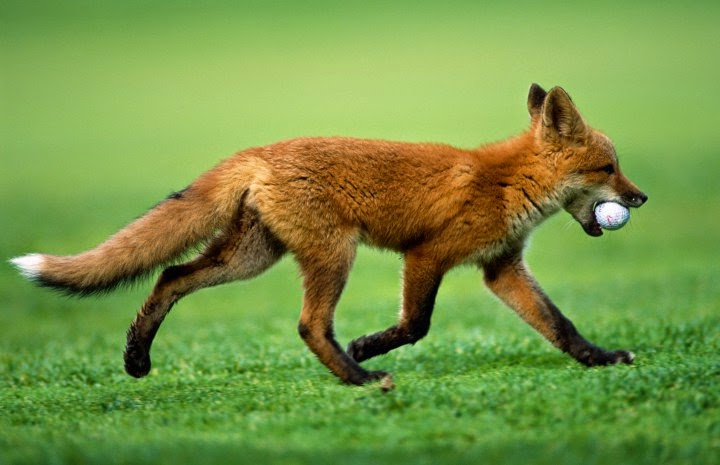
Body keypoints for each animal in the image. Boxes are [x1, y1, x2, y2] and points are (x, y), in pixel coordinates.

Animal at [11, 84, 648, 388]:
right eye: (609, 168)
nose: (641, 199)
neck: (509, 181)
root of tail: (260, 151)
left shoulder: (501, 267)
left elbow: (559, 325)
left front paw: (600, 359)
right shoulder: (428, 254)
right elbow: (416, 324)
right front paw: (369, 347)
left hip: (250, 257)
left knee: (170, 274)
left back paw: (137, 357)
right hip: (332, 254)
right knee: (309, 326)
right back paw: (359, 377)